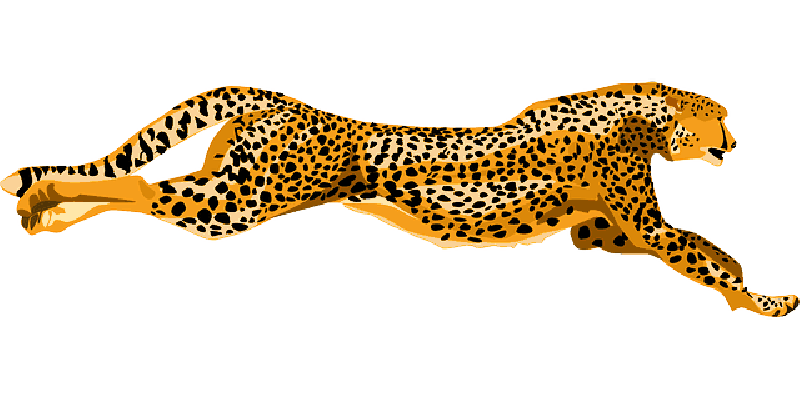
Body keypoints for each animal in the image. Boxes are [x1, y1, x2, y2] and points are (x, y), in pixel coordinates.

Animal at [1, 82, 796, 317]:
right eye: (722, 117)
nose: (736, 141)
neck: (649, 108)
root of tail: (276, 95)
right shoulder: (642, 222)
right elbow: (700, 253)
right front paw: (767, 299)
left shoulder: (596, 231)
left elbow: (694, 247)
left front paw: (750, 283)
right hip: (242, 199)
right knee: (138, 183)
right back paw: (41, 193)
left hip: (230, 185)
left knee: (143, 187)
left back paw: (44, 205)